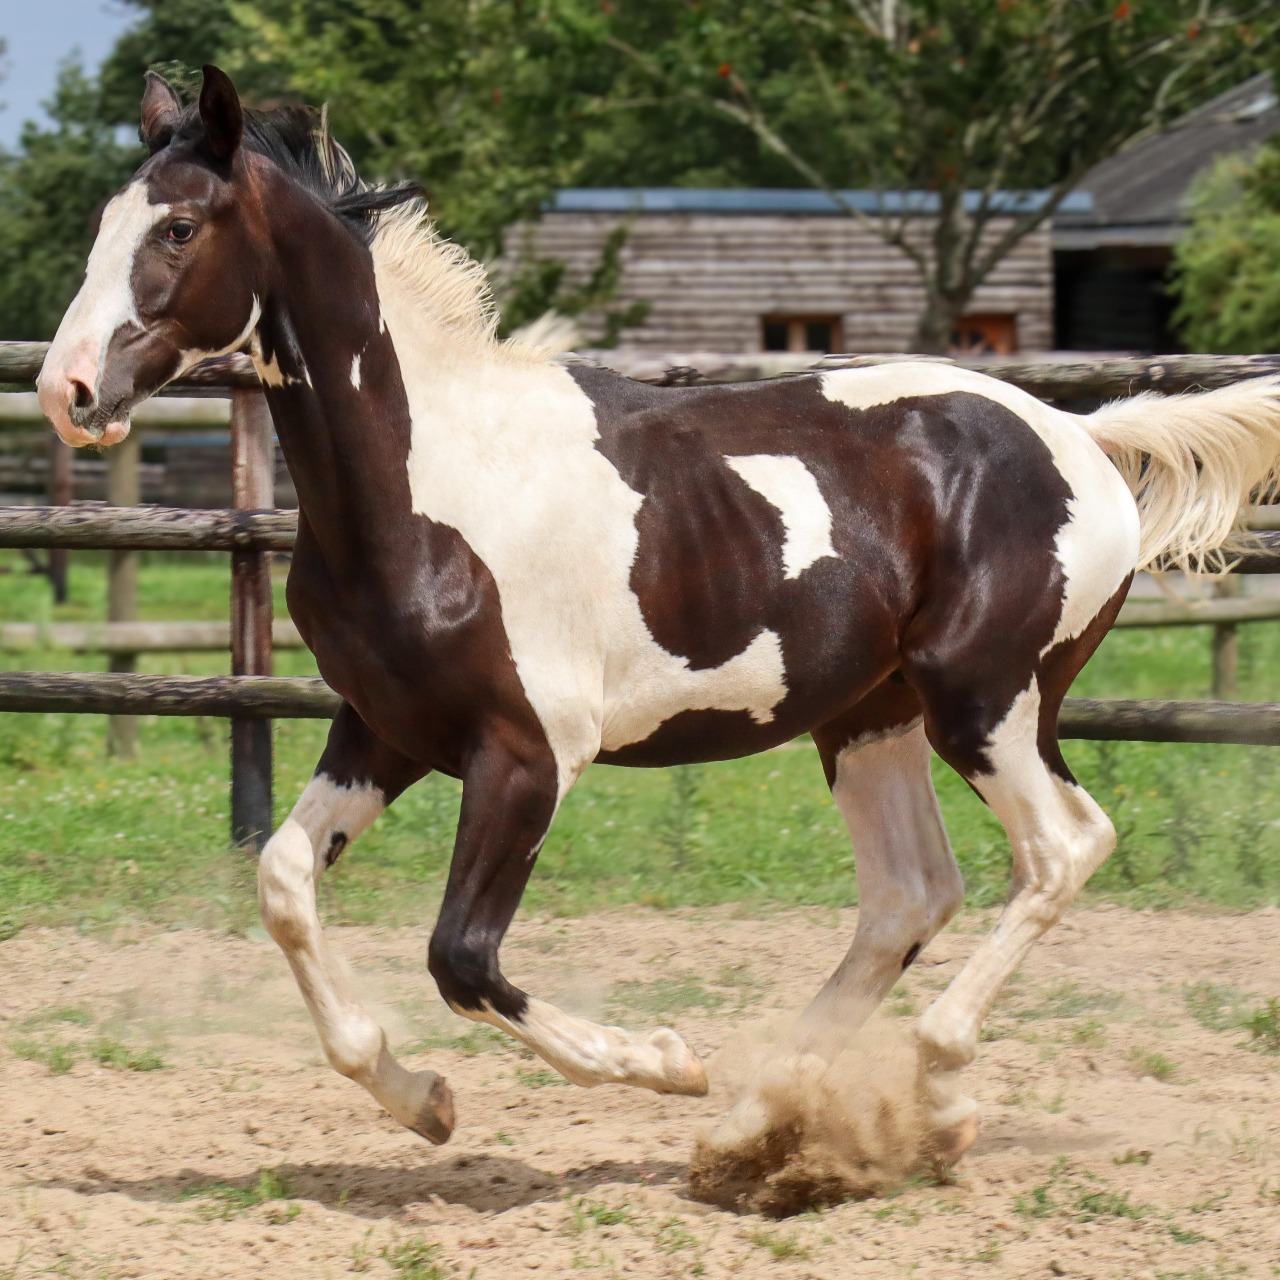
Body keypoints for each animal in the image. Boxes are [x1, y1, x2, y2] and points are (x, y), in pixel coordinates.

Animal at [37, 62, 1280, 1177]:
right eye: (101, 224)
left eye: (180, 226)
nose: (67, 391)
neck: (429, 476)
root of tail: (1083, 434)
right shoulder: (383, 728)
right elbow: (286, 881)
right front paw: (421, 1097)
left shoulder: (527, 753)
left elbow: (462, 956)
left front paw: (663, 1058)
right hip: (868, 716)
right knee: (910, 893)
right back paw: (757, 1117)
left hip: (986, 701)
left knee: (1060, 847)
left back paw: (921, 1092)